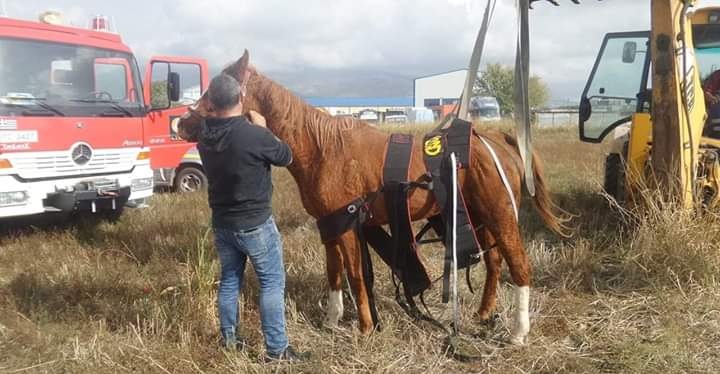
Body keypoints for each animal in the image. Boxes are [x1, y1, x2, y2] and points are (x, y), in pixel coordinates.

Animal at [177, 50, 572, 344]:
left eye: (217, 90)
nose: (182, 123)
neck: (323, 149)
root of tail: (497, 140)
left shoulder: (348, 224)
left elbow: (354, 274)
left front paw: (366, 328)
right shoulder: (330, 226)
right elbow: (335, 272)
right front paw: (333, 320)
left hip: (501, 215)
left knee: (519, 266)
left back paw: (518, 333)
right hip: (477, 217)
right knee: (494, 262)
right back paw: (484, 312)